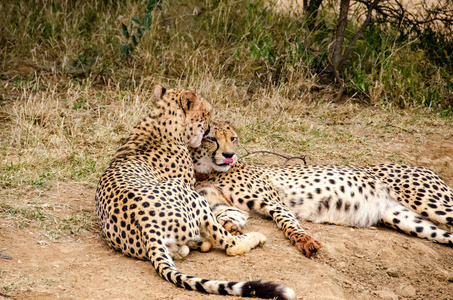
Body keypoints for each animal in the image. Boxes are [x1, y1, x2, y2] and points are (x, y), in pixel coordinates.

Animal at [93, 85, 294, 300]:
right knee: (230, 243)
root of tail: (147, 230)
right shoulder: (190, 185)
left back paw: (201, 244)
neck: (160, 124)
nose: (207, 130)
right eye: (206, 114)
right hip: (188, 194)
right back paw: (253, 237)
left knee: (184, 250)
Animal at [190, 119, 452, 248]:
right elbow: (227, 217)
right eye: (211, 138)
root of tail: (424, 168)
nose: (229, 155)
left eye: (233, 138)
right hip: (403, 218)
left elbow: (288, 223)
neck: (207, 172)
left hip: (433, 204)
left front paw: (304, 241)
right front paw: (233, 228)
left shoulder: (275, 203)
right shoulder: (224, 205)